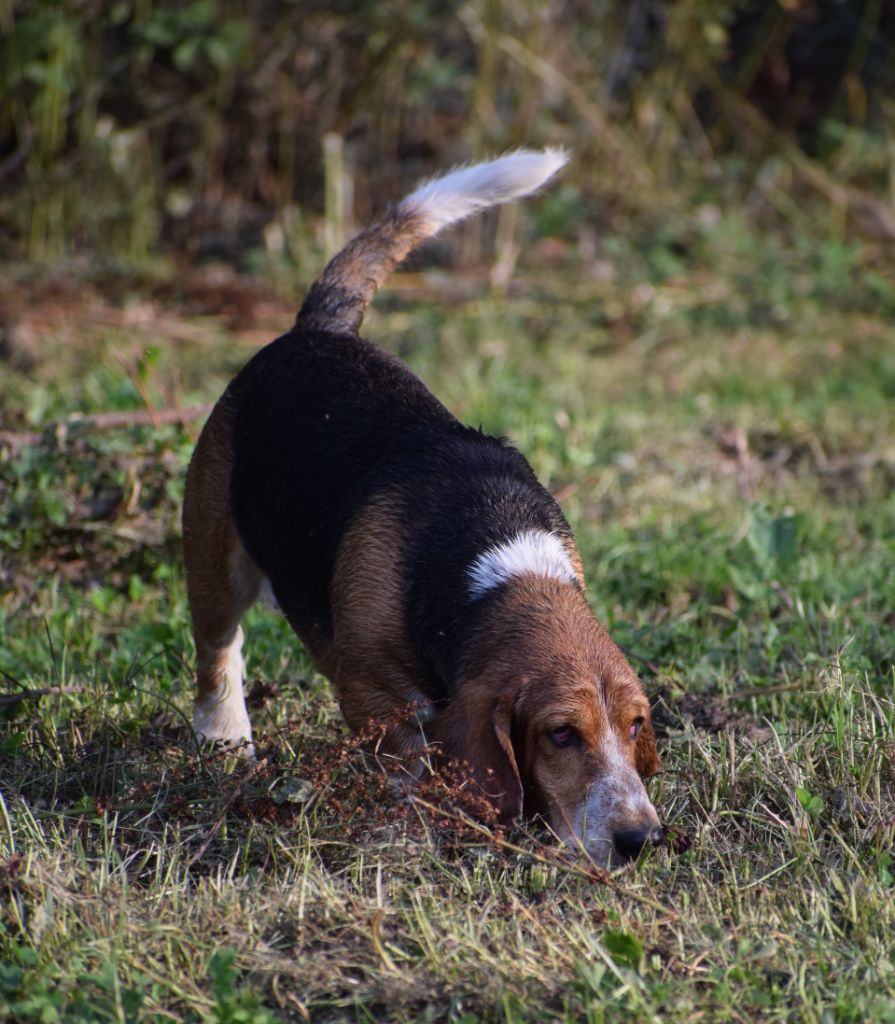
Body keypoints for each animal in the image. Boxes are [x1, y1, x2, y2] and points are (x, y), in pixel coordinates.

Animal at [181, 149, 659, 864]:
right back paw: (225, 739)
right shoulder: (376, 698)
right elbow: (408, 764)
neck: (494, 567)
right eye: (561, 734)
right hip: (214, 558)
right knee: (218, 652)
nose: (641, 839)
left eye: (635, 725)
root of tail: (315, 333)